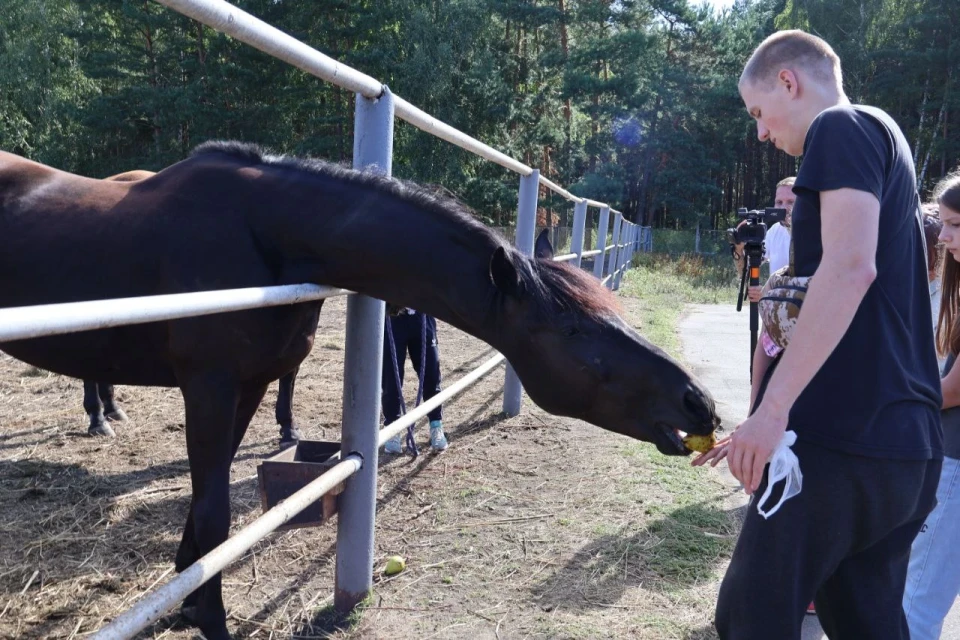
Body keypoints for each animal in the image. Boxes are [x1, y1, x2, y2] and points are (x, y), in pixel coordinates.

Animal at [0, 141, 720, 640]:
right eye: (574, 329)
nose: (700, 403)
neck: (261, 236)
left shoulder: (248, 386)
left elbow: (207, 508)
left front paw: (184, 604)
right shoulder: (207, 385)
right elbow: (214, 513)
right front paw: (209, 619)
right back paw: (101, 417)